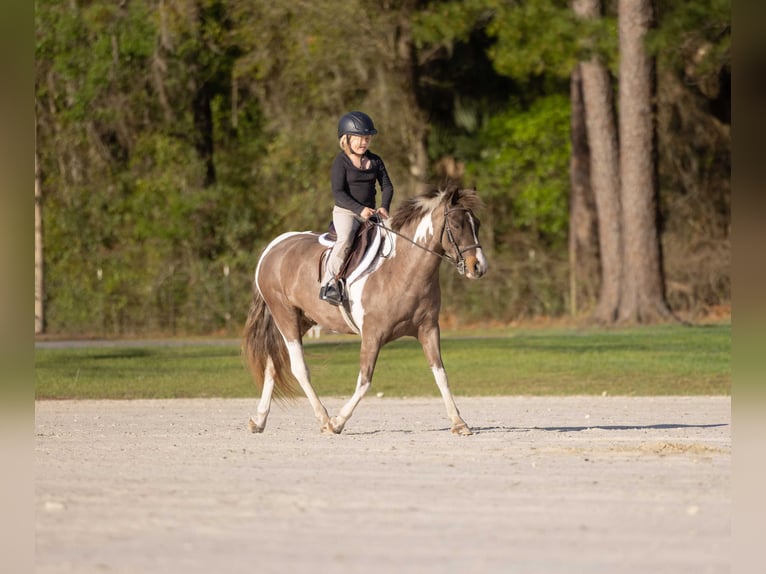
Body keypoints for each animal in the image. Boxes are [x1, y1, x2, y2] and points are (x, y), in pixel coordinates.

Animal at [242, 184, 488, 435]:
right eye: (456, 225)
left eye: (476, 224)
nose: (478, 267)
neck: (402, 269)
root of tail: (274, 247)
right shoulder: (372, 335)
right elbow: (365, 381)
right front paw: (337, 422)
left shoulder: (428, 329)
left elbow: (441, 375)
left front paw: (459, 422)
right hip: (285, 316)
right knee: (299, 368)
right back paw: (323, 418)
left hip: (302, 320)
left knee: (272, 365)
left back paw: (259, 420)